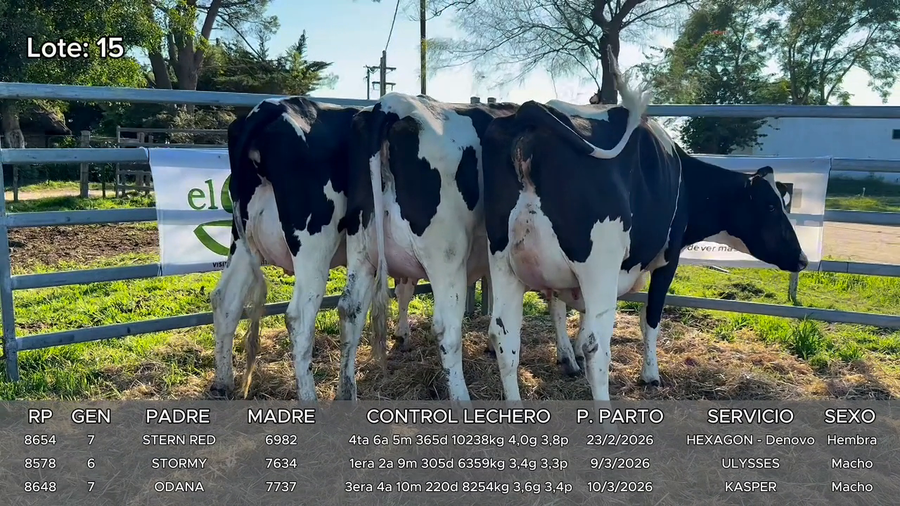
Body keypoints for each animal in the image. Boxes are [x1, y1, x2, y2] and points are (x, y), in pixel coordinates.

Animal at [210, 96, 420, 402]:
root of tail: (269, 107)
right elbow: (406, 287)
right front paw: (403, 333)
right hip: (314, 246)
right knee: (299, 317)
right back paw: (310, 398)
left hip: (243, 242)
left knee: (225, 300)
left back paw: (222, 383)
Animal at [337, 93, 525, 402]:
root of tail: (390, 104)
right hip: (446, 257)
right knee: (447, 329)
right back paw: (462, 398)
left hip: (361, 251)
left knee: (349, 310)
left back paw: (347, 393)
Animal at [481, 54, 808, 402]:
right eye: (771, 206)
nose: (802, 259)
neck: (685, 180)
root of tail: (532, 110)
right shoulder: (668, 259)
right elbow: (650, 317)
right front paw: (650, 374)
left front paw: (572, 357)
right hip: (599, 265)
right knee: (597, 346)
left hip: (503, 261)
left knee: (504, 339)